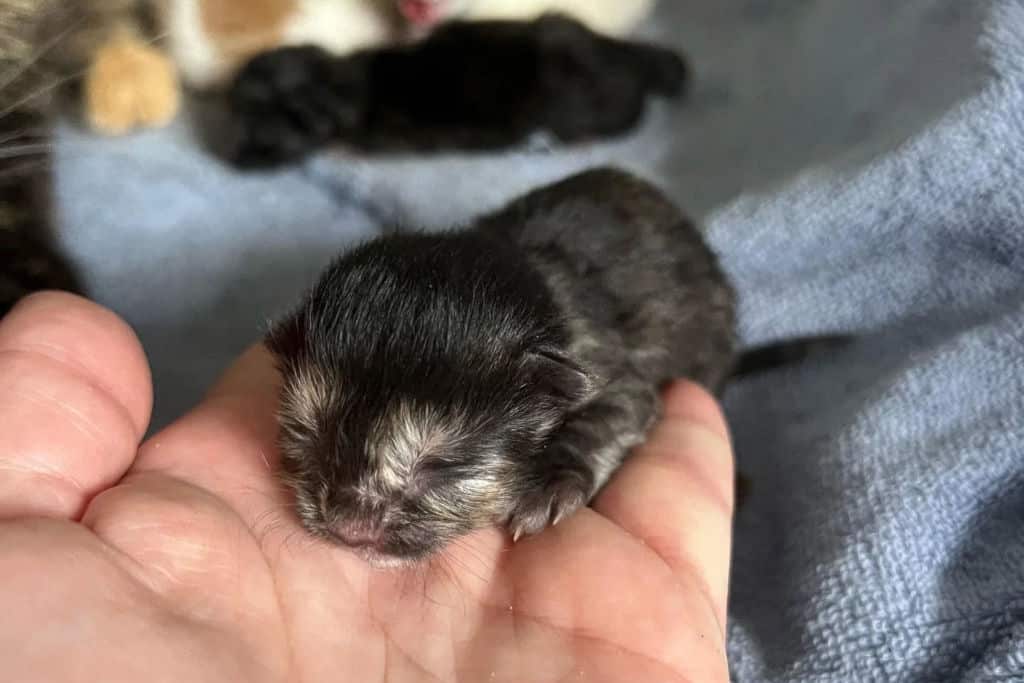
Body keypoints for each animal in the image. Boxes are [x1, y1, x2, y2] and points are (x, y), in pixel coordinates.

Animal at [268, 166, 741, 565]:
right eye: (308, 434)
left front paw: (550, 482)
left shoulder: (606, 367)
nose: (348, 525)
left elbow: (615, 414)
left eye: (443, 465)